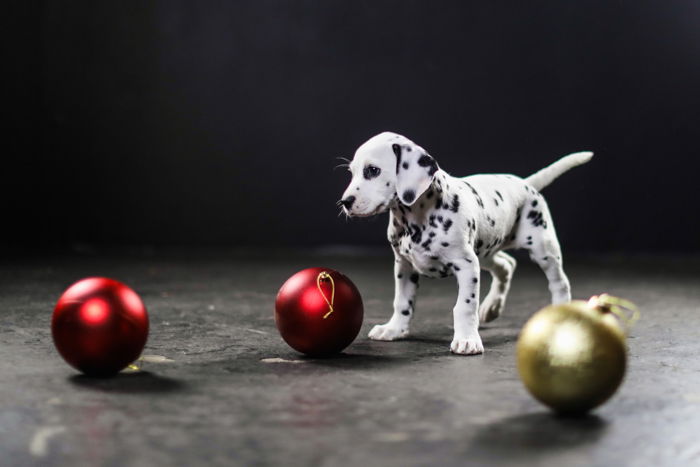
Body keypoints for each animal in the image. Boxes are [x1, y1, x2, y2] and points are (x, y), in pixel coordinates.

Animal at [340, 132, 592, 354]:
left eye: (373, 170)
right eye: (351, 172)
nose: (345, 202)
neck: (417, 218)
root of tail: (524, 184)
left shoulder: (466, 265)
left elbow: (464, 307)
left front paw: (467, 340)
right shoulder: (404, 266)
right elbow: (402, 302)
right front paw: (394, 330)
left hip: (542, 248)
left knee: (559, 283)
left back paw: (559, 311)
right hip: (485, 253)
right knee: (506, 265)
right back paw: (492, 307)